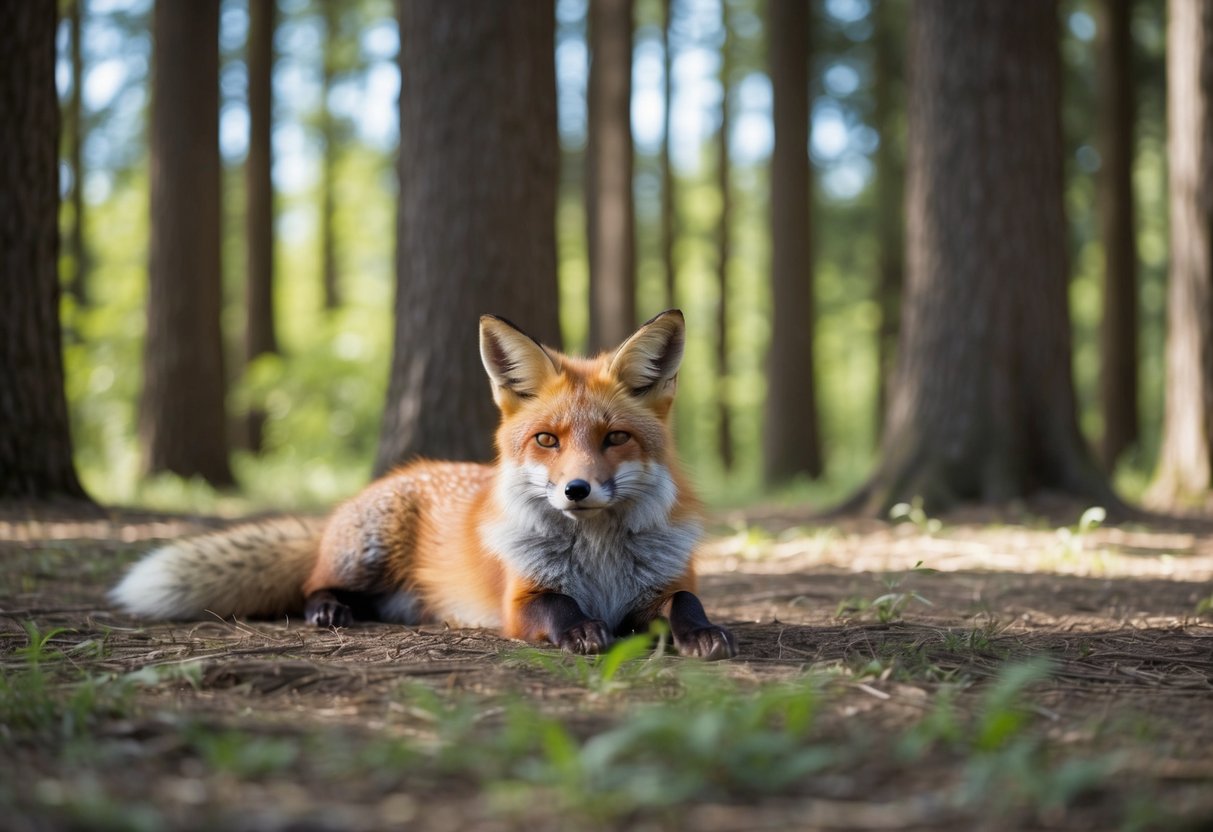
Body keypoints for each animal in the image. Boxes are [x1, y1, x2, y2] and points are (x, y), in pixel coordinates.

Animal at [111, 310, 736, 659]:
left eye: (615, 439)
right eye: (547, 440)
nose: (576, 490)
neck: (600, 562)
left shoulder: (663, 586)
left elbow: (686, 602)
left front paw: (704, 633)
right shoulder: (521, 600)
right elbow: (560, 608)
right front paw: (584, 631)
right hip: (366, 555)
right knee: (312, 584)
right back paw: (328, 611)